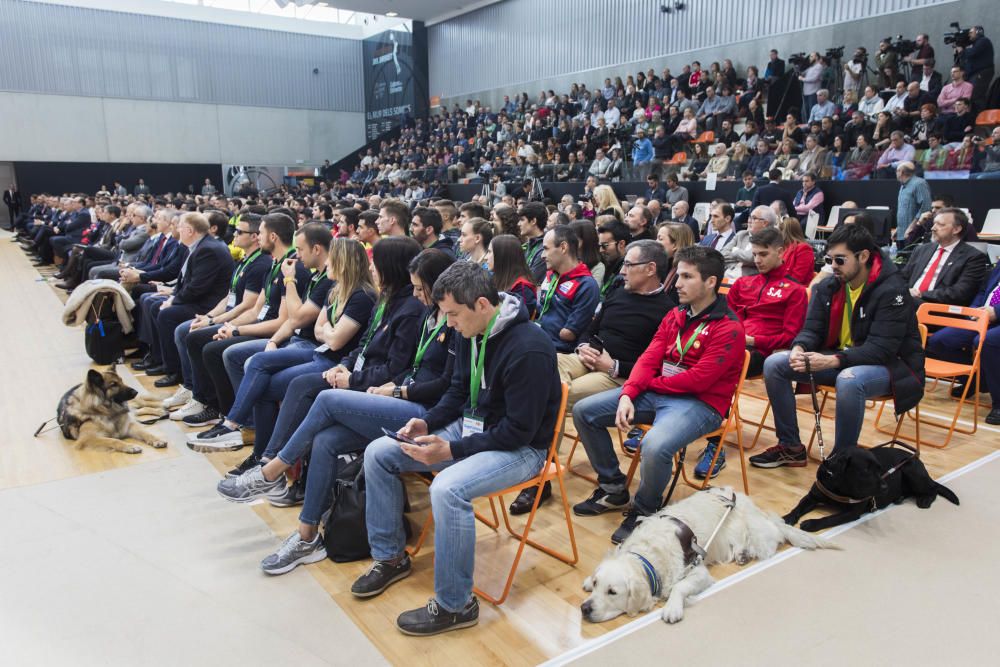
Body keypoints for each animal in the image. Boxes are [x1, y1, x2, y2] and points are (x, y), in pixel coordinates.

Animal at [584, 486, 840, 628]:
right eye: (597, 584)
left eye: (612, 592)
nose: (584, 609)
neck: (648, 555)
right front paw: (586, 579)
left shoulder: (697, 571)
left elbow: (679, 587)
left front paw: (672, 609)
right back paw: (742, 555)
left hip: (761, 535)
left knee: (775, 535)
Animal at [784, 446, 956, 536]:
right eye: (865, 471)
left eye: (880, 469)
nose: (885, 488)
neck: (840, 488)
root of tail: (915, 458)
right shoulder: (812, 496)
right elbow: (798, 507)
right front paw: (787, 518)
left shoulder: (852, 512)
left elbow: (830, 518)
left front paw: (811, 523)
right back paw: (900, 497)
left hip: (912, 472)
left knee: (933, 488)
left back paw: (925, 500)